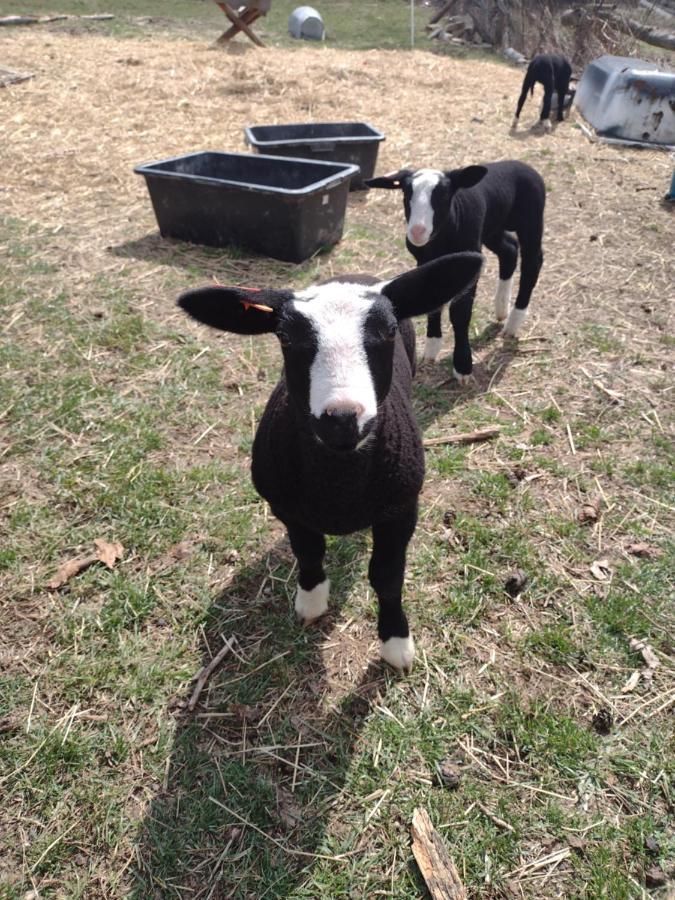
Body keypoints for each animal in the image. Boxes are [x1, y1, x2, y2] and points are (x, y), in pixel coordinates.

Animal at [177, 250, 484, 672]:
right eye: (285, 337)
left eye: (388, 330)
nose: (341, 419)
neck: (340, 483)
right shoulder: (287, 508)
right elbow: (307, 552)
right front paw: (311, 600)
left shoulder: (401, 510)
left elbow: (387, 577)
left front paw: (395, 642)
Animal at [368, 162, 548, 384]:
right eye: (405, 192)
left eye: (444, 194)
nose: (417, 232)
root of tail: (520, 164)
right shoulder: (426, 261)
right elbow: (431, 297)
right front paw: (432, 346)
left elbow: (461, 313)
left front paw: (462, 366)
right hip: (492, 229)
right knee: (509, 249)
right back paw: (501, 308)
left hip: (531, 220)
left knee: (532, 263)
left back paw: (513, 322)